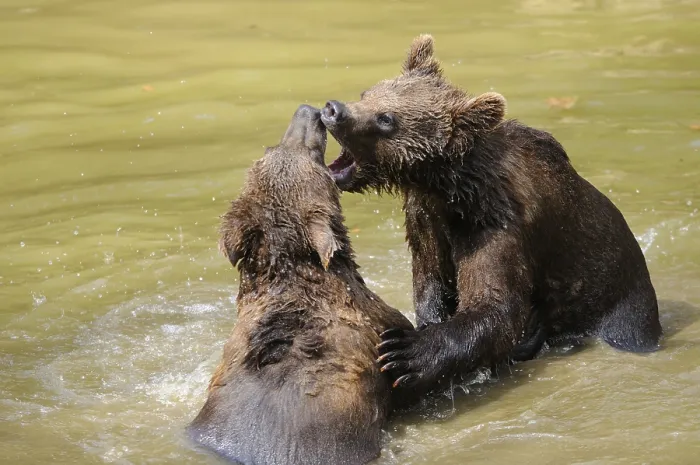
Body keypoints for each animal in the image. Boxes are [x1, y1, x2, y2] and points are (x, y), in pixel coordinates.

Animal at [319, 34, 662, 394]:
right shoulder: (425, 218)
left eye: (386, 118)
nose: (333, 110)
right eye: (366, 93)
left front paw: (404, 351)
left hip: (620, 303)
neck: (446, 186)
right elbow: (430, 278)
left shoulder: (493, 223)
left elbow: (496, 304)